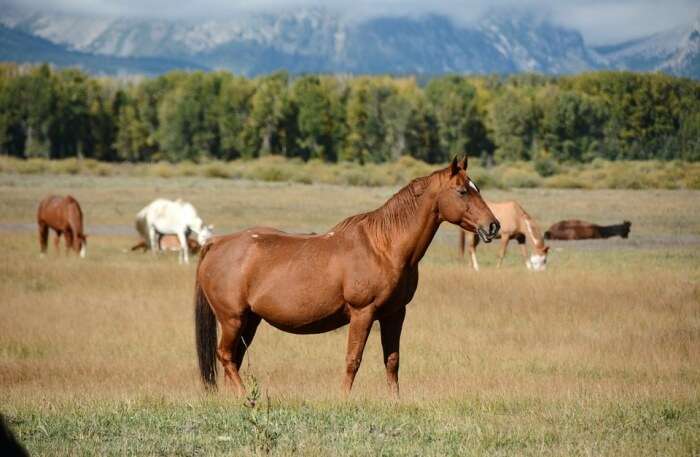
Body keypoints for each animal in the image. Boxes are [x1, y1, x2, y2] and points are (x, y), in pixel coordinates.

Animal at [194, 156, 500, 396]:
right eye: (462, 191)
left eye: (476, 188)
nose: (493, 226)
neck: (383, 247)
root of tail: (217, 243)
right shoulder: (362, 313)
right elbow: (353, 360)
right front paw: (343, 399)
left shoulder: (395, 314)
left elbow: (392, 360)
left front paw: (395, 401)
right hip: (232, 319)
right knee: (226, 356)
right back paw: (247, 398)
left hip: (250, 321)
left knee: (234, 359)